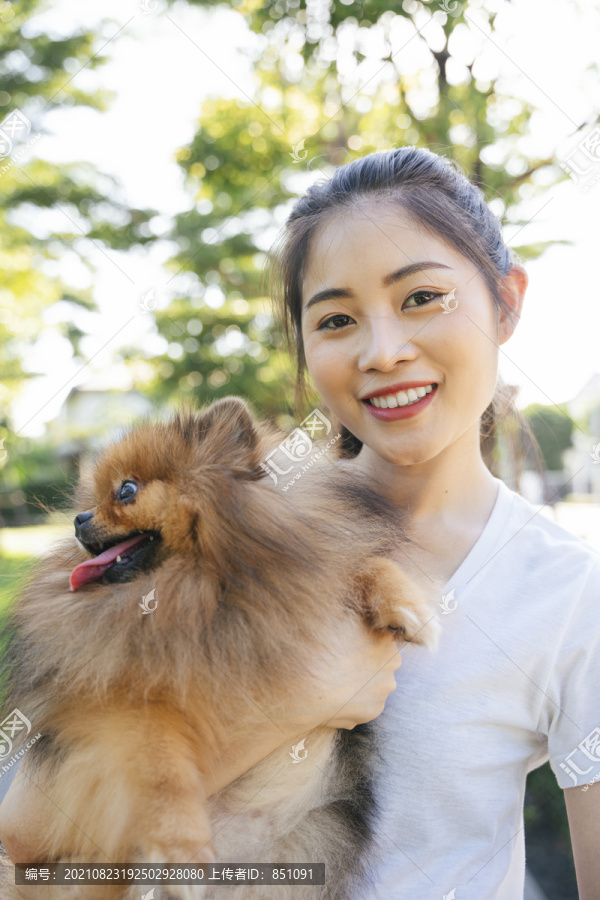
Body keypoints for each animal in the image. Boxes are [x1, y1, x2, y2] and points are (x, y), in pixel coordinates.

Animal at [0, 398, 440, 896]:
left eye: (126, 491)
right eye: (89, 502)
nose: (78, 520)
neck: (203, 586)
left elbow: (362, 565)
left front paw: (410, 608)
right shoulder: (115, 703)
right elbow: (160, 770)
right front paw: (180, 851)